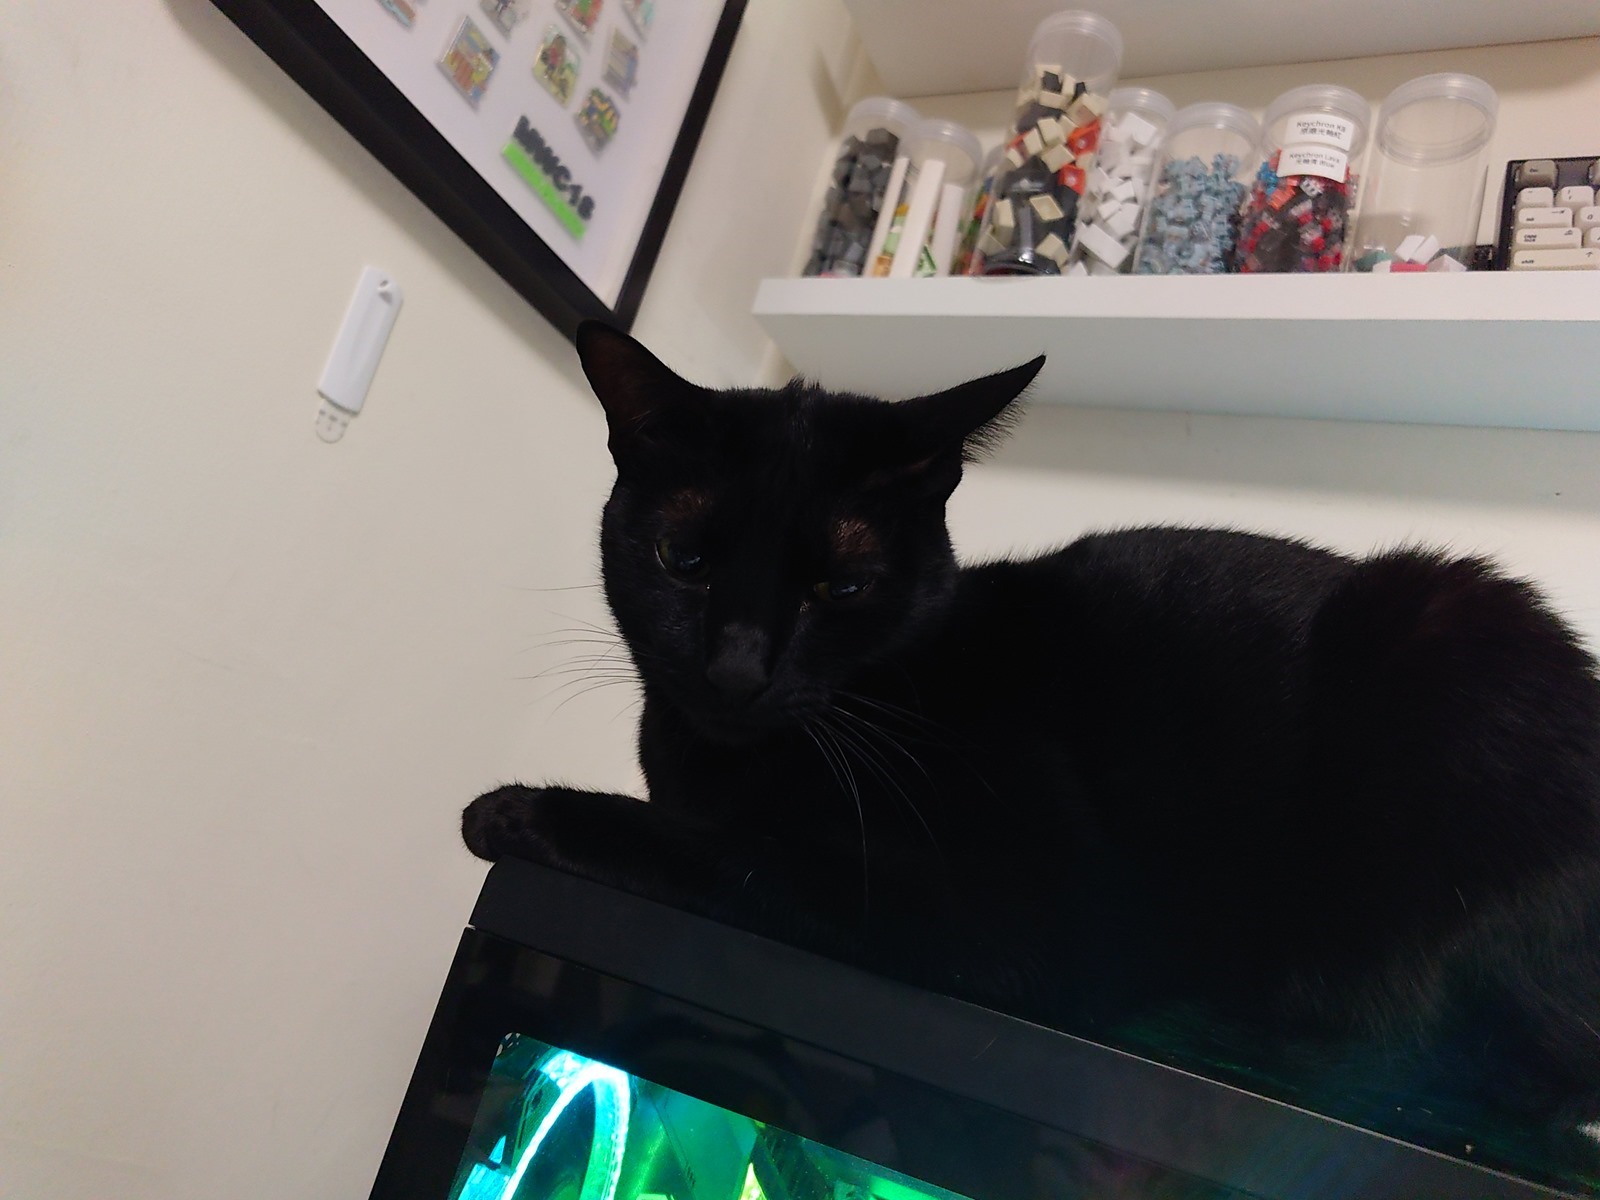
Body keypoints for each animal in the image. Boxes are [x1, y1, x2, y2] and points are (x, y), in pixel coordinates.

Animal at [464, 323, 1600, 1174]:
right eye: (684, 559)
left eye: (842, 585)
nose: (738, 669)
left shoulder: (1034, 903)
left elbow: (756, 853)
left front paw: (522, 809)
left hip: (1447, 630)